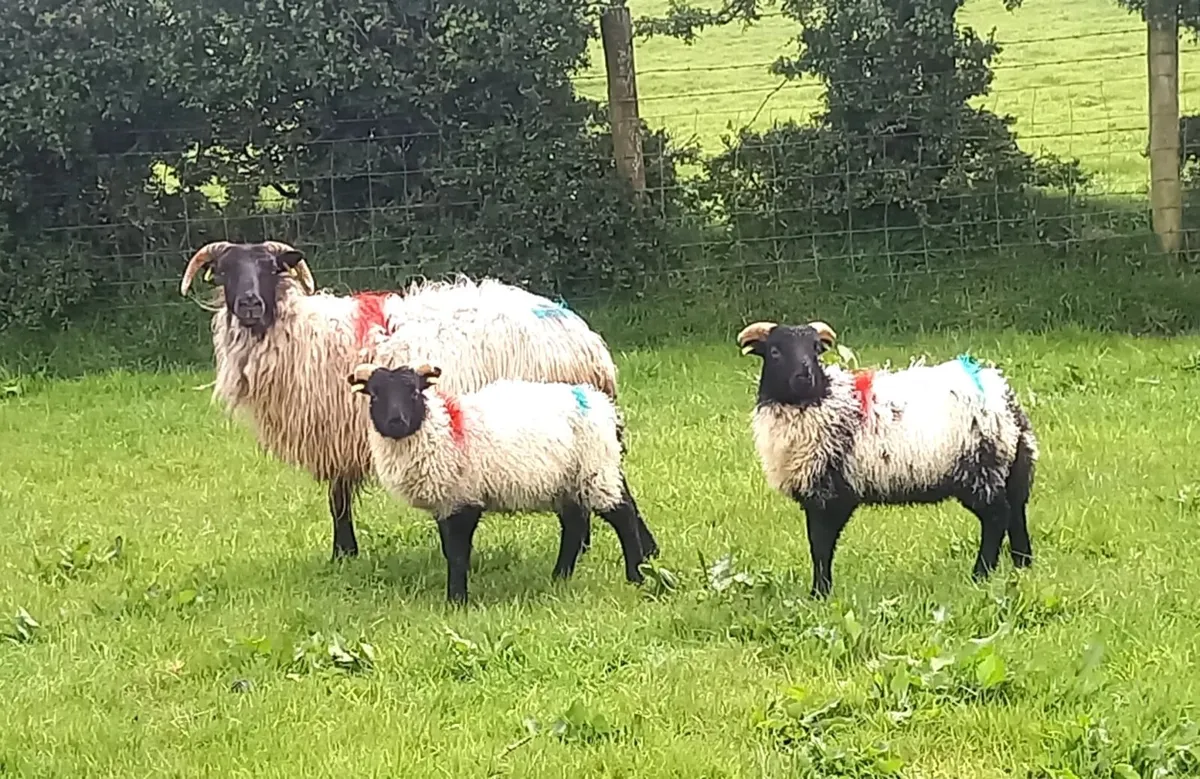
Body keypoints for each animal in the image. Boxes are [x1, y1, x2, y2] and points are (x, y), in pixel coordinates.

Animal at [179, 240, 652, 561]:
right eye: (225, 271)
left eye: (271, 268)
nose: (250, 303)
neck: (304, 333)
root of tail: (584, 338)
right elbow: (338, 498)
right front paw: (345, 555)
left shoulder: (342, 431)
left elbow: (337, 499)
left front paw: (343, 552)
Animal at [346, 361, 654, 604]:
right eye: (374, 395)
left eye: (413, 392)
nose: (396, 422)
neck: (440, 429)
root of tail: (600, 403)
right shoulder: (446, 502)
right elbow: (450, 551)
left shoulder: (464, 497)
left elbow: (457, 554)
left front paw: (456, 600)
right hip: (568, 482)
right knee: (575, 525)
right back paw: (559, 577)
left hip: (596, 469)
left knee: (623, 515)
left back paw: (635, 575)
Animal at [736, 319, 1038, 598]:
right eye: (775, 351)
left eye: (815, 350)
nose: (804, 376)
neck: (820, 399)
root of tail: (1003, 397)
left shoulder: (829, 495)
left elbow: (820, 546)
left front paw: (819, 594)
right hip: (1007, 467)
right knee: (1016, 511)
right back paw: (1022, 565)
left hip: (979, 469)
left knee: (997, 517)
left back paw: (980, 574)